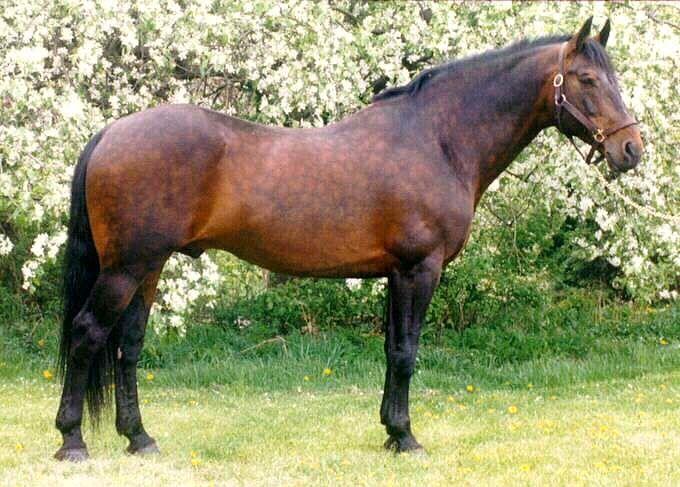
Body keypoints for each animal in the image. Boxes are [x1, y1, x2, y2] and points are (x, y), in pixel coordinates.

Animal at [54, 18, 642, 461]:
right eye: (586, 79)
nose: (632, 148)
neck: (437, 139)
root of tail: (111, 132)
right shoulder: (419, 269)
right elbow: (406, 352)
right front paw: (406, 437)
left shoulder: (394, 273)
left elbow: (391, 349)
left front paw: (389, 431)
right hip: (126, 269)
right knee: (87, 334)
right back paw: (72, 441)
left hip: (148, 269)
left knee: (128, 346)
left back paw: (139, 438)